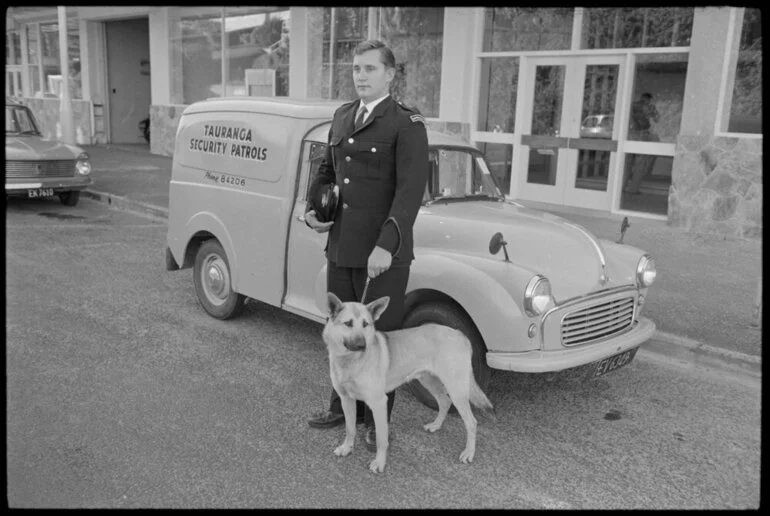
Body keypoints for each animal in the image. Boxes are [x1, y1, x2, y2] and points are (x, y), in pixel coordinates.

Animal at [322, 292, 492, 474]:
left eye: (366, 324)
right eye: (348, 323)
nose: (362, 345)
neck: (350, 361)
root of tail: (460, 334)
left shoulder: (379, 403)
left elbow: (381, 439)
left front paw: (380, 463)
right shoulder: (346, 399)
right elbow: (350, 428)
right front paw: (347, 448)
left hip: (456, 390)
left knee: (471, 422)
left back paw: (469, 453)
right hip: (428, 381)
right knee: (445, 401)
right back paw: (436, 425)